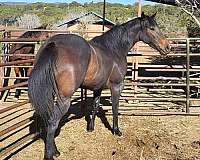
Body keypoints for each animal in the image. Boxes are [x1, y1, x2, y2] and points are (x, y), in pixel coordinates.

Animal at [27, 12, 170, 160]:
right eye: (152, 28)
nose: (167, 47)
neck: (114, 49)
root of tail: (53, 44)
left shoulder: (97, 88)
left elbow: (94, 107)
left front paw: (91, 128)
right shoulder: (117, 86)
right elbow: (115, 108)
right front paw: (116, 130)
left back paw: (55, 150)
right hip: (64, 100)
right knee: (52, 123)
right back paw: (51, 154)